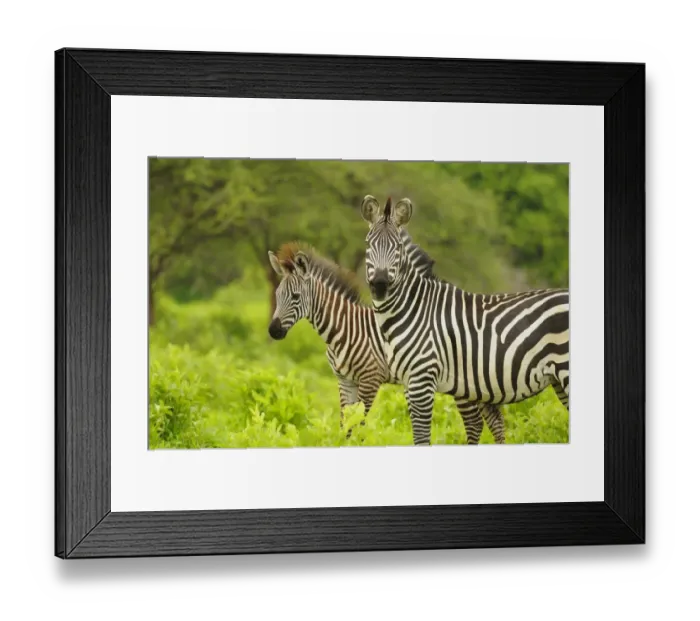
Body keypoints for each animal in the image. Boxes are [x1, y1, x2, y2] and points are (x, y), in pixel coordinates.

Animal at [267, 240, 506, 443]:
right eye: (277, 295)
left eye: (295, 297)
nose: (273, 331)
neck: (344, 328)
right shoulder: (344, 380)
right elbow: (345, 425)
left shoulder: (370, 378)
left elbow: (358, 425)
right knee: (495, 422)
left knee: (476, 423)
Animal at [360, 194, 569, 446]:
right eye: (368, 244)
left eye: (398, 247)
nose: (380, 285)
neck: (413, 309)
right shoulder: (411, 384)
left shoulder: (423, 380)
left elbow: (423, 437)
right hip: (558, 380)